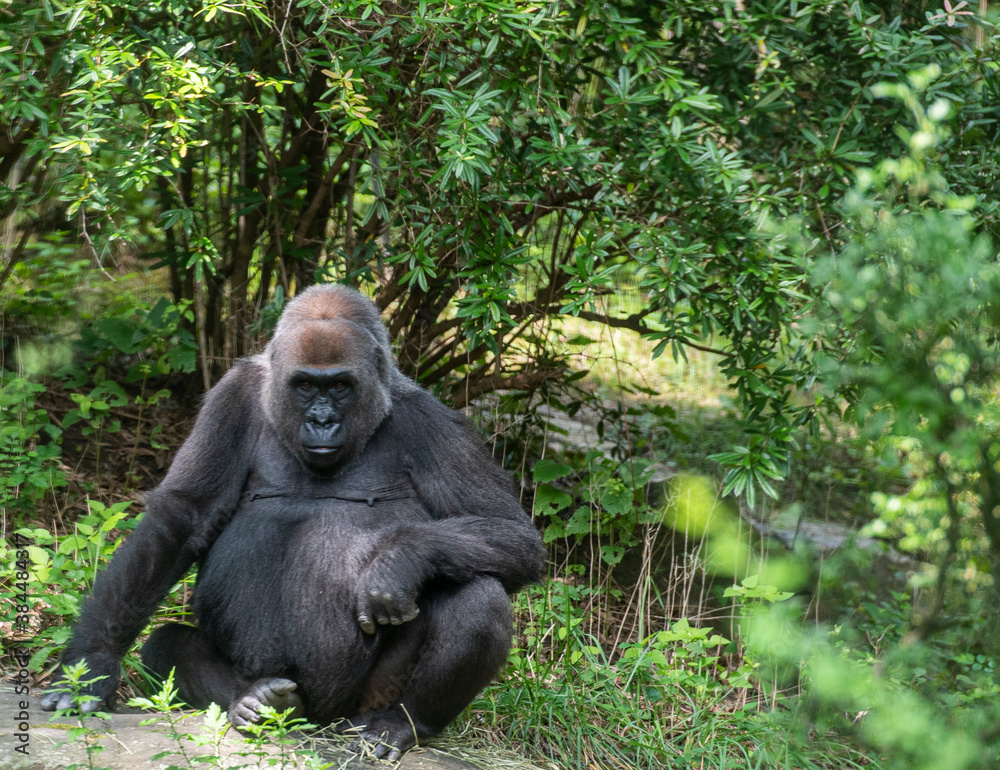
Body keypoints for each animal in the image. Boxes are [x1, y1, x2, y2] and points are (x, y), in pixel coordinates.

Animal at [43, 284, 548, 760]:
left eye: (340, 386)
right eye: (306, 385)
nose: (322, 420)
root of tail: (319, 722)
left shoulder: (434, 422)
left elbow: (514, 534)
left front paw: (398, 563)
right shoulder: (233, 394)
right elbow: (183, 517)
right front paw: (92, 665)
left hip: (363, 703)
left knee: (477, 595)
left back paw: (403, 723)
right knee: (163, 644)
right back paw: (255, 701)